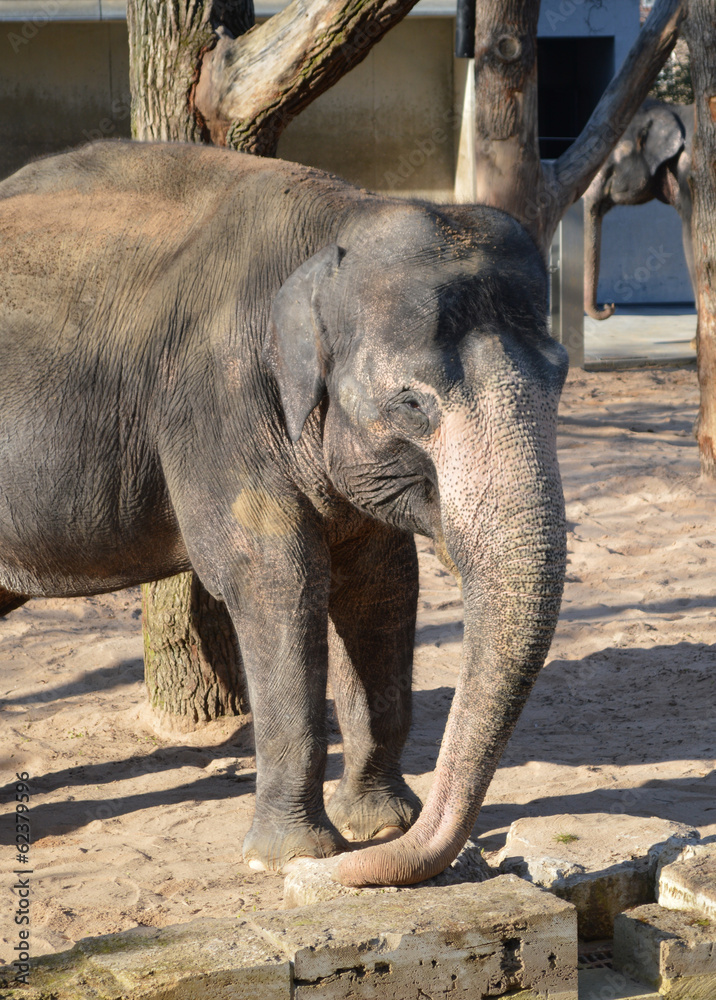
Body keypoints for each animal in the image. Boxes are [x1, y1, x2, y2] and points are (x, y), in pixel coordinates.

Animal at [0, 140, 568, 887]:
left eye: (563, 374)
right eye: (412, 402)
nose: (346, 877)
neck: (339, 223)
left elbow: (382, 583)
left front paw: (381, 826)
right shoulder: (217, 403)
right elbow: (277, 579)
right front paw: (294, 857)